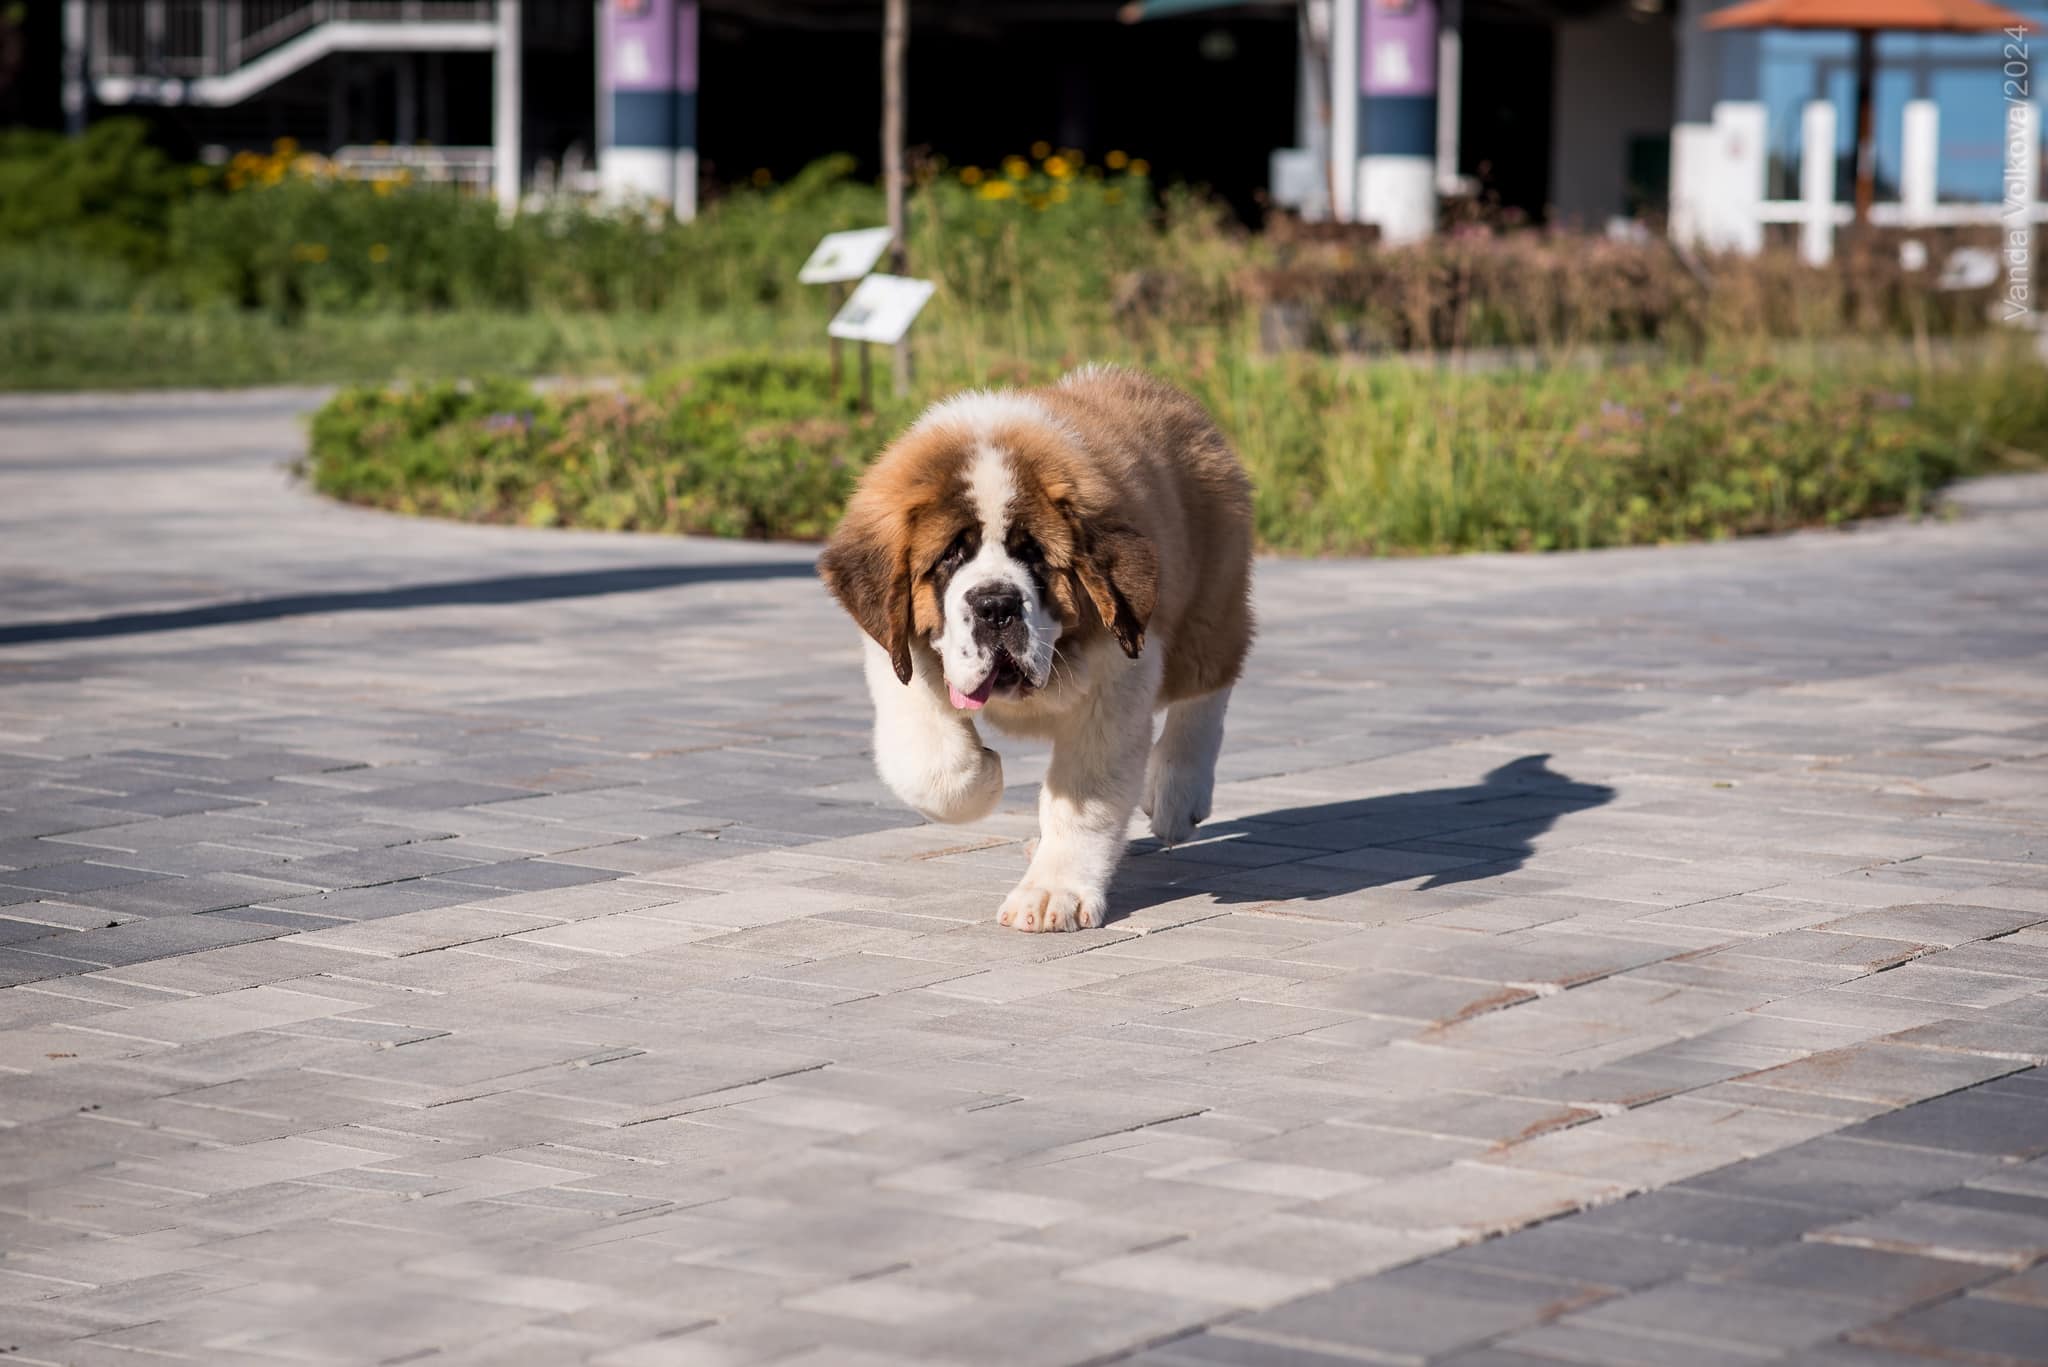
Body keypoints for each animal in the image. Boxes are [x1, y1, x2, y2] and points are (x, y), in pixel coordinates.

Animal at [818, 365, 1254, 932]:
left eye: (1034, 554)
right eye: (950, 556)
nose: (996, 606)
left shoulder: (1116, 683)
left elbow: (1083, 799)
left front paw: (1052, 892)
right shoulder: (898, 653)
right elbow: (930, 765)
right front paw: (984, 773)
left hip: (1207, 599)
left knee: (1209, 682)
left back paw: (1178, 794)